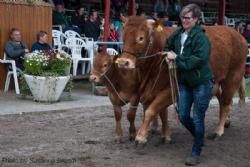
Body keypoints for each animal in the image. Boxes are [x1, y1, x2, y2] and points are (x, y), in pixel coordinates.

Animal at [115, 16, 248, 145]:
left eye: (141, 38)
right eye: (123, 36)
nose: (123, 62)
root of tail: (237, 34)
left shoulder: (171, 90)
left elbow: (151, 111)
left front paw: (141, 137)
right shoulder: (155, 90)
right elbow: (162, 113)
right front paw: (166, 135)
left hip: (233, 77)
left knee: (226, 103)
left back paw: (218, 131)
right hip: (216, 83)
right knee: (223, 100)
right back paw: (226, 123)